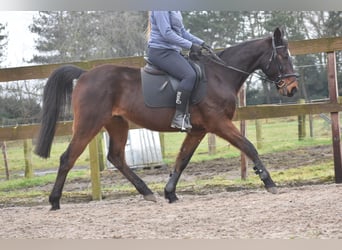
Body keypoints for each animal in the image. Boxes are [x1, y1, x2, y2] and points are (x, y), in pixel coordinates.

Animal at [34, 27, 300, 210]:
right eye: (283, 56)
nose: (293, 89)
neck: (220, 75)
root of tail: (85, 74)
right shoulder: (218, 123)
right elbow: (249, 146)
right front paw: (269, 182)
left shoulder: (198, 130)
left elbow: (182, 159)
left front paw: (170, 192)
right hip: (88, 124)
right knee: (68, 158)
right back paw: (54, 201)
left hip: (117, 124)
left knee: (117, 157)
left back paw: (147, 192)